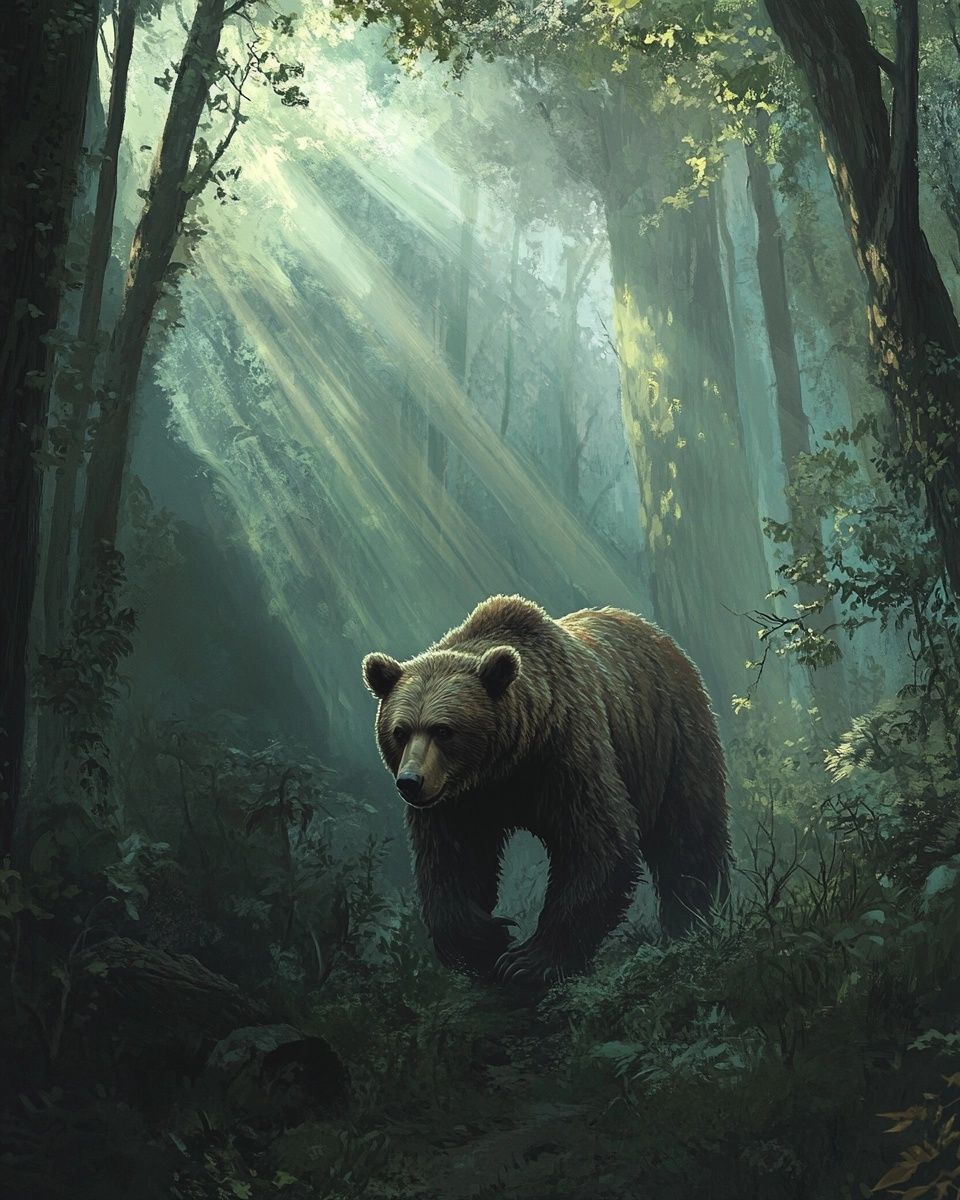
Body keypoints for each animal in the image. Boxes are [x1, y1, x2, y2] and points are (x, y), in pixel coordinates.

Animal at [361, 594, 729, 984]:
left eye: (443, 730)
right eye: (400, 731)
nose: (410, 782)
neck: (506, 763)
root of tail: (655, 632)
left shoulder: (565, 753)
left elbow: (598, 843)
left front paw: (528, 961)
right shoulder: (460, 801)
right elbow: (452, 861)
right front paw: (488, 940)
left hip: (671, 735)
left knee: (687, 834)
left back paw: (689, 921)